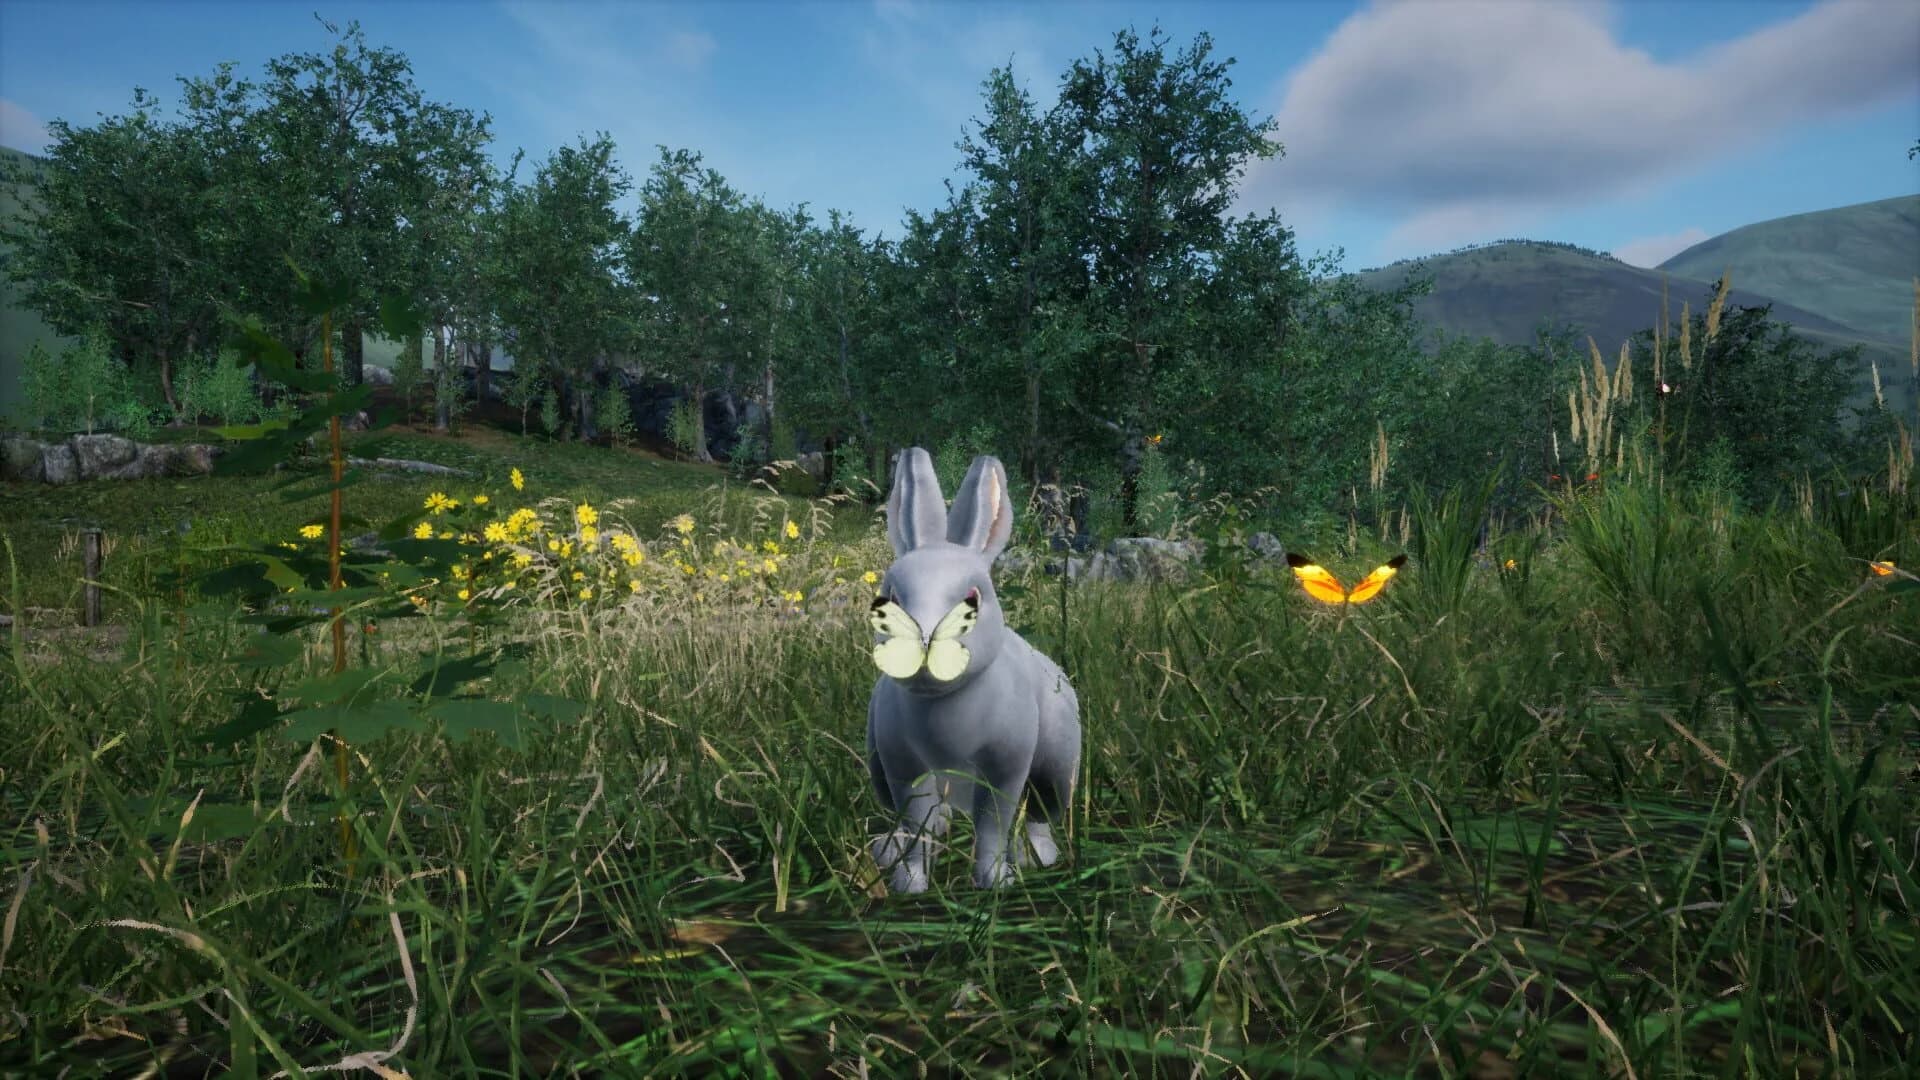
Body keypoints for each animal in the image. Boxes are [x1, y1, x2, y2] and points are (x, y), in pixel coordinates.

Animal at [866, 447, 1081, 892]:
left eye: (972, 598)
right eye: (890, 598)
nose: (921, 650)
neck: (943, 704)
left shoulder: (1005, 767)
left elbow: (993, 823)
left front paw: (994, 881)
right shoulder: (902, 767)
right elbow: (916, 822)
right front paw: (910, 884)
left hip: (1058, 767)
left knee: (1040, 815)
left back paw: (1037, 858)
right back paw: (889, 850)